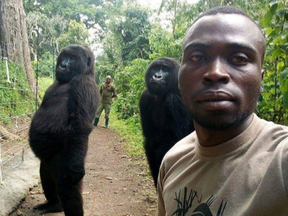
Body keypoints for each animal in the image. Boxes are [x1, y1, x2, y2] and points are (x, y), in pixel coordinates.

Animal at [29, 44, 99, 215]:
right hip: (48, 161)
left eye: (72, 59)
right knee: (45, 174)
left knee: (67, 186)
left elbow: (79, 127)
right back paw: (53, 205)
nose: (63, 65)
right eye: (64, 57)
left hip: (65, 160)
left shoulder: (83, 84)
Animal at [139, 57, 194, 187]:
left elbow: (173, 145)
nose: (157, 76)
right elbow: (151, 144)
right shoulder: (145, 97)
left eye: (165, 69)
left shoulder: (175, 100)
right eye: (156, 68)